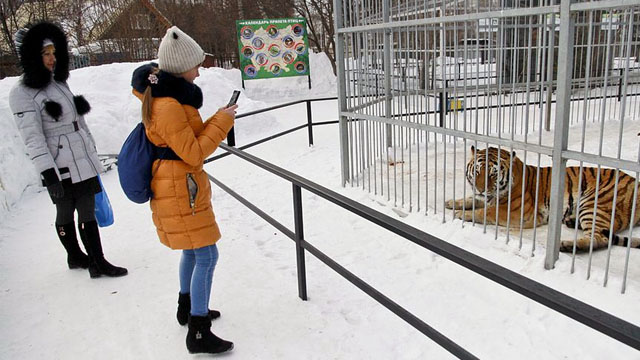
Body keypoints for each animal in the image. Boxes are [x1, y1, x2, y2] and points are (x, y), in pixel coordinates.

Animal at [442, 145, 640, 252]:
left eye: (493, 174)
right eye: (477, 171)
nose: (480, 189)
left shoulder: (518, 212)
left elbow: (486, 211)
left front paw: (462, 214)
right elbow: (473, 199)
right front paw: (453, 202)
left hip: (595, 204)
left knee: (601, 238)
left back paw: (568, 245)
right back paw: (570, 222)